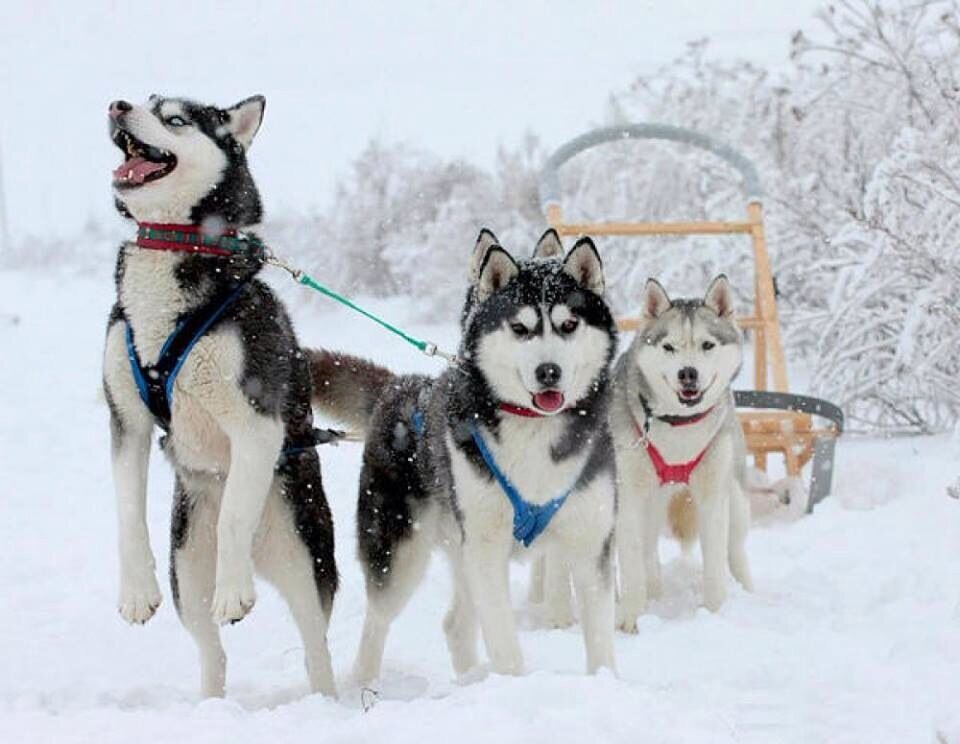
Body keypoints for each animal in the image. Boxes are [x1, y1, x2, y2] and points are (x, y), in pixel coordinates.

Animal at [101, 94, 338, 696]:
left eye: (176, 118)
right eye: (142, 99)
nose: (117, 105)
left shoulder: (256, 422)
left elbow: (234, 514)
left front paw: (234, 592)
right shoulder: (127, 420)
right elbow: (127, 511)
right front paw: (134, 592)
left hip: (306, 560)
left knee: (315, 646)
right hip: (186, 570)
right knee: (212, 650)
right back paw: (210, 704)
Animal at [312, 235, 620, 684]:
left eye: (568, 325)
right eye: (520, 328)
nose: (549, 371)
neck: (535, 430)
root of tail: (401, 385)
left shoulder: (589, 540)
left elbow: (600, 643)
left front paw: (605, 682)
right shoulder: (486, 548)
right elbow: (505, 643)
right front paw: (513, 682)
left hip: (460, 550)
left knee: (456, 624)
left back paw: (471, 677)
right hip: (402, 550)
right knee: (378, 620)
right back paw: (363, 683)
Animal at [612, 274, 752, 628]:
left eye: (707, 345)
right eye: (668, 347)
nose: (687, 373)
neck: (678, 426)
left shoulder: (713, 497)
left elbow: (715, 563)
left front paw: (716, 613)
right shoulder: (628, 498)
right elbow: (631, 563)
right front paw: (630, 618)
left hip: (735, 498)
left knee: (735, 551)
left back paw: (748, 592)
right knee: (647, 552)